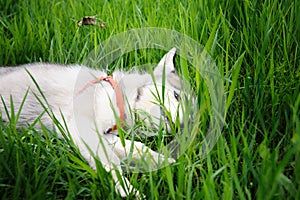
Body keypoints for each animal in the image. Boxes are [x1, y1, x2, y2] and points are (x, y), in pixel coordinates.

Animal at [0, 47, 183, 198]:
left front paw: (161, 160)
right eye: (177, 96)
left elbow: (135, 147)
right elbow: (111, 160)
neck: (119, 95)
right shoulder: (80, 124)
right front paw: (126, 189)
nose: (180, 127)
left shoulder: (105, 133)